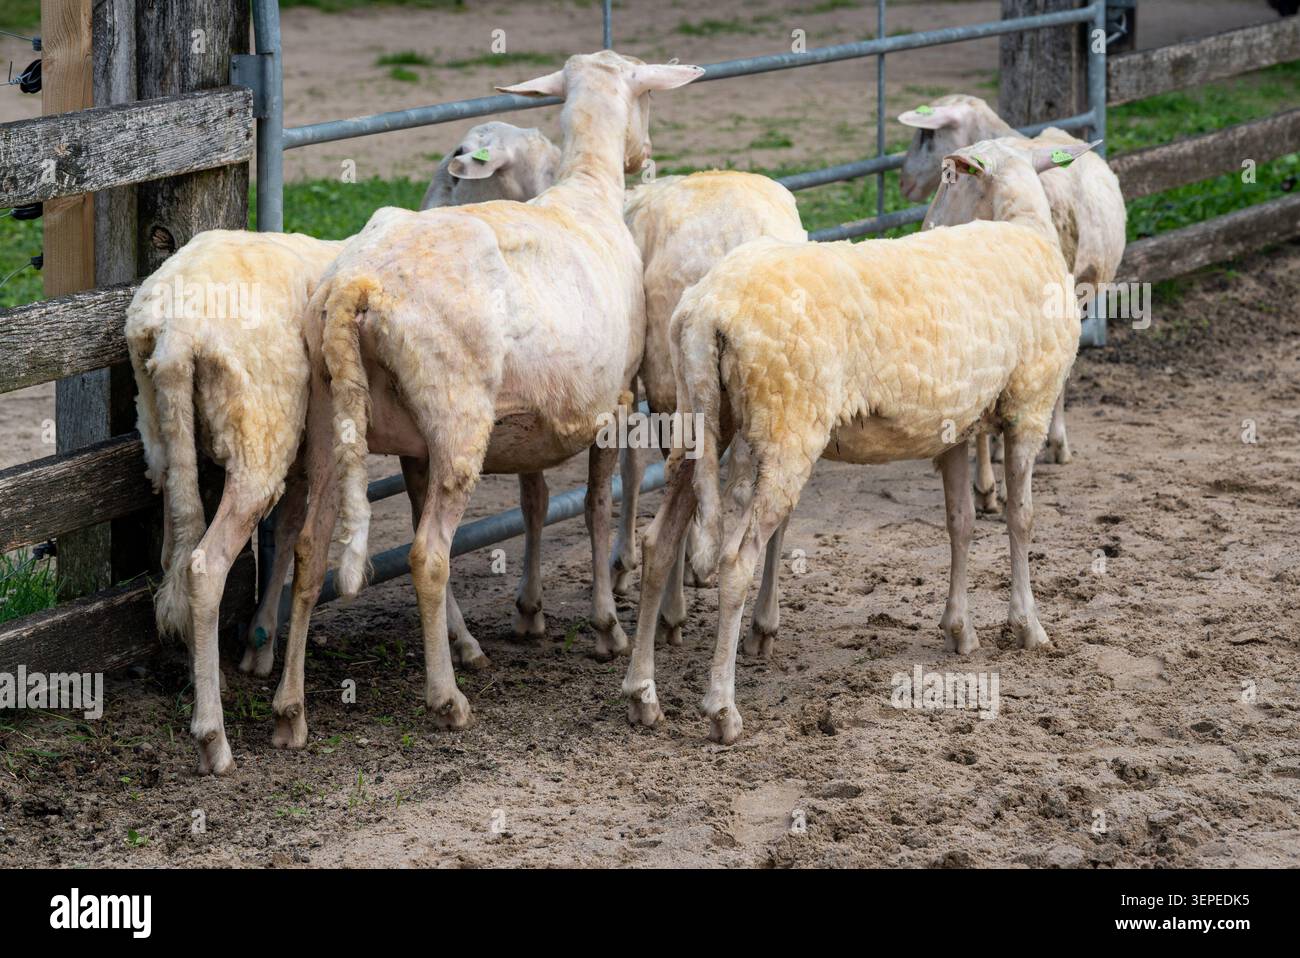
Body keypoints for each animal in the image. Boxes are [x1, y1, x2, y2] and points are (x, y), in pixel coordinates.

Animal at [127, 123, 556, 775]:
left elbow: (291, 539)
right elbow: (422, 542)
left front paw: (261, 649)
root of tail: (174, 331)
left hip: (166, 434)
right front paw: (462, 652)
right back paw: (214, 738)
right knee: (206, 566)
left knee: (177, 551)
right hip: (260, 432)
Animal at [267, 52, 704, 746]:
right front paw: (606, 624)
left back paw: (290, 713)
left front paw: (530, 614)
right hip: (456, 417)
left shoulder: (523, 422)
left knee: (310, 552)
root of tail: (357, 284)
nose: (646, 155)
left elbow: (536, 503)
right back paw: (447, 700)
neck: (587, 190)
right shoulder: (609, 402)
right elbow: (595, 507)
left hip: (331, 419)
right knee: (427, 554)